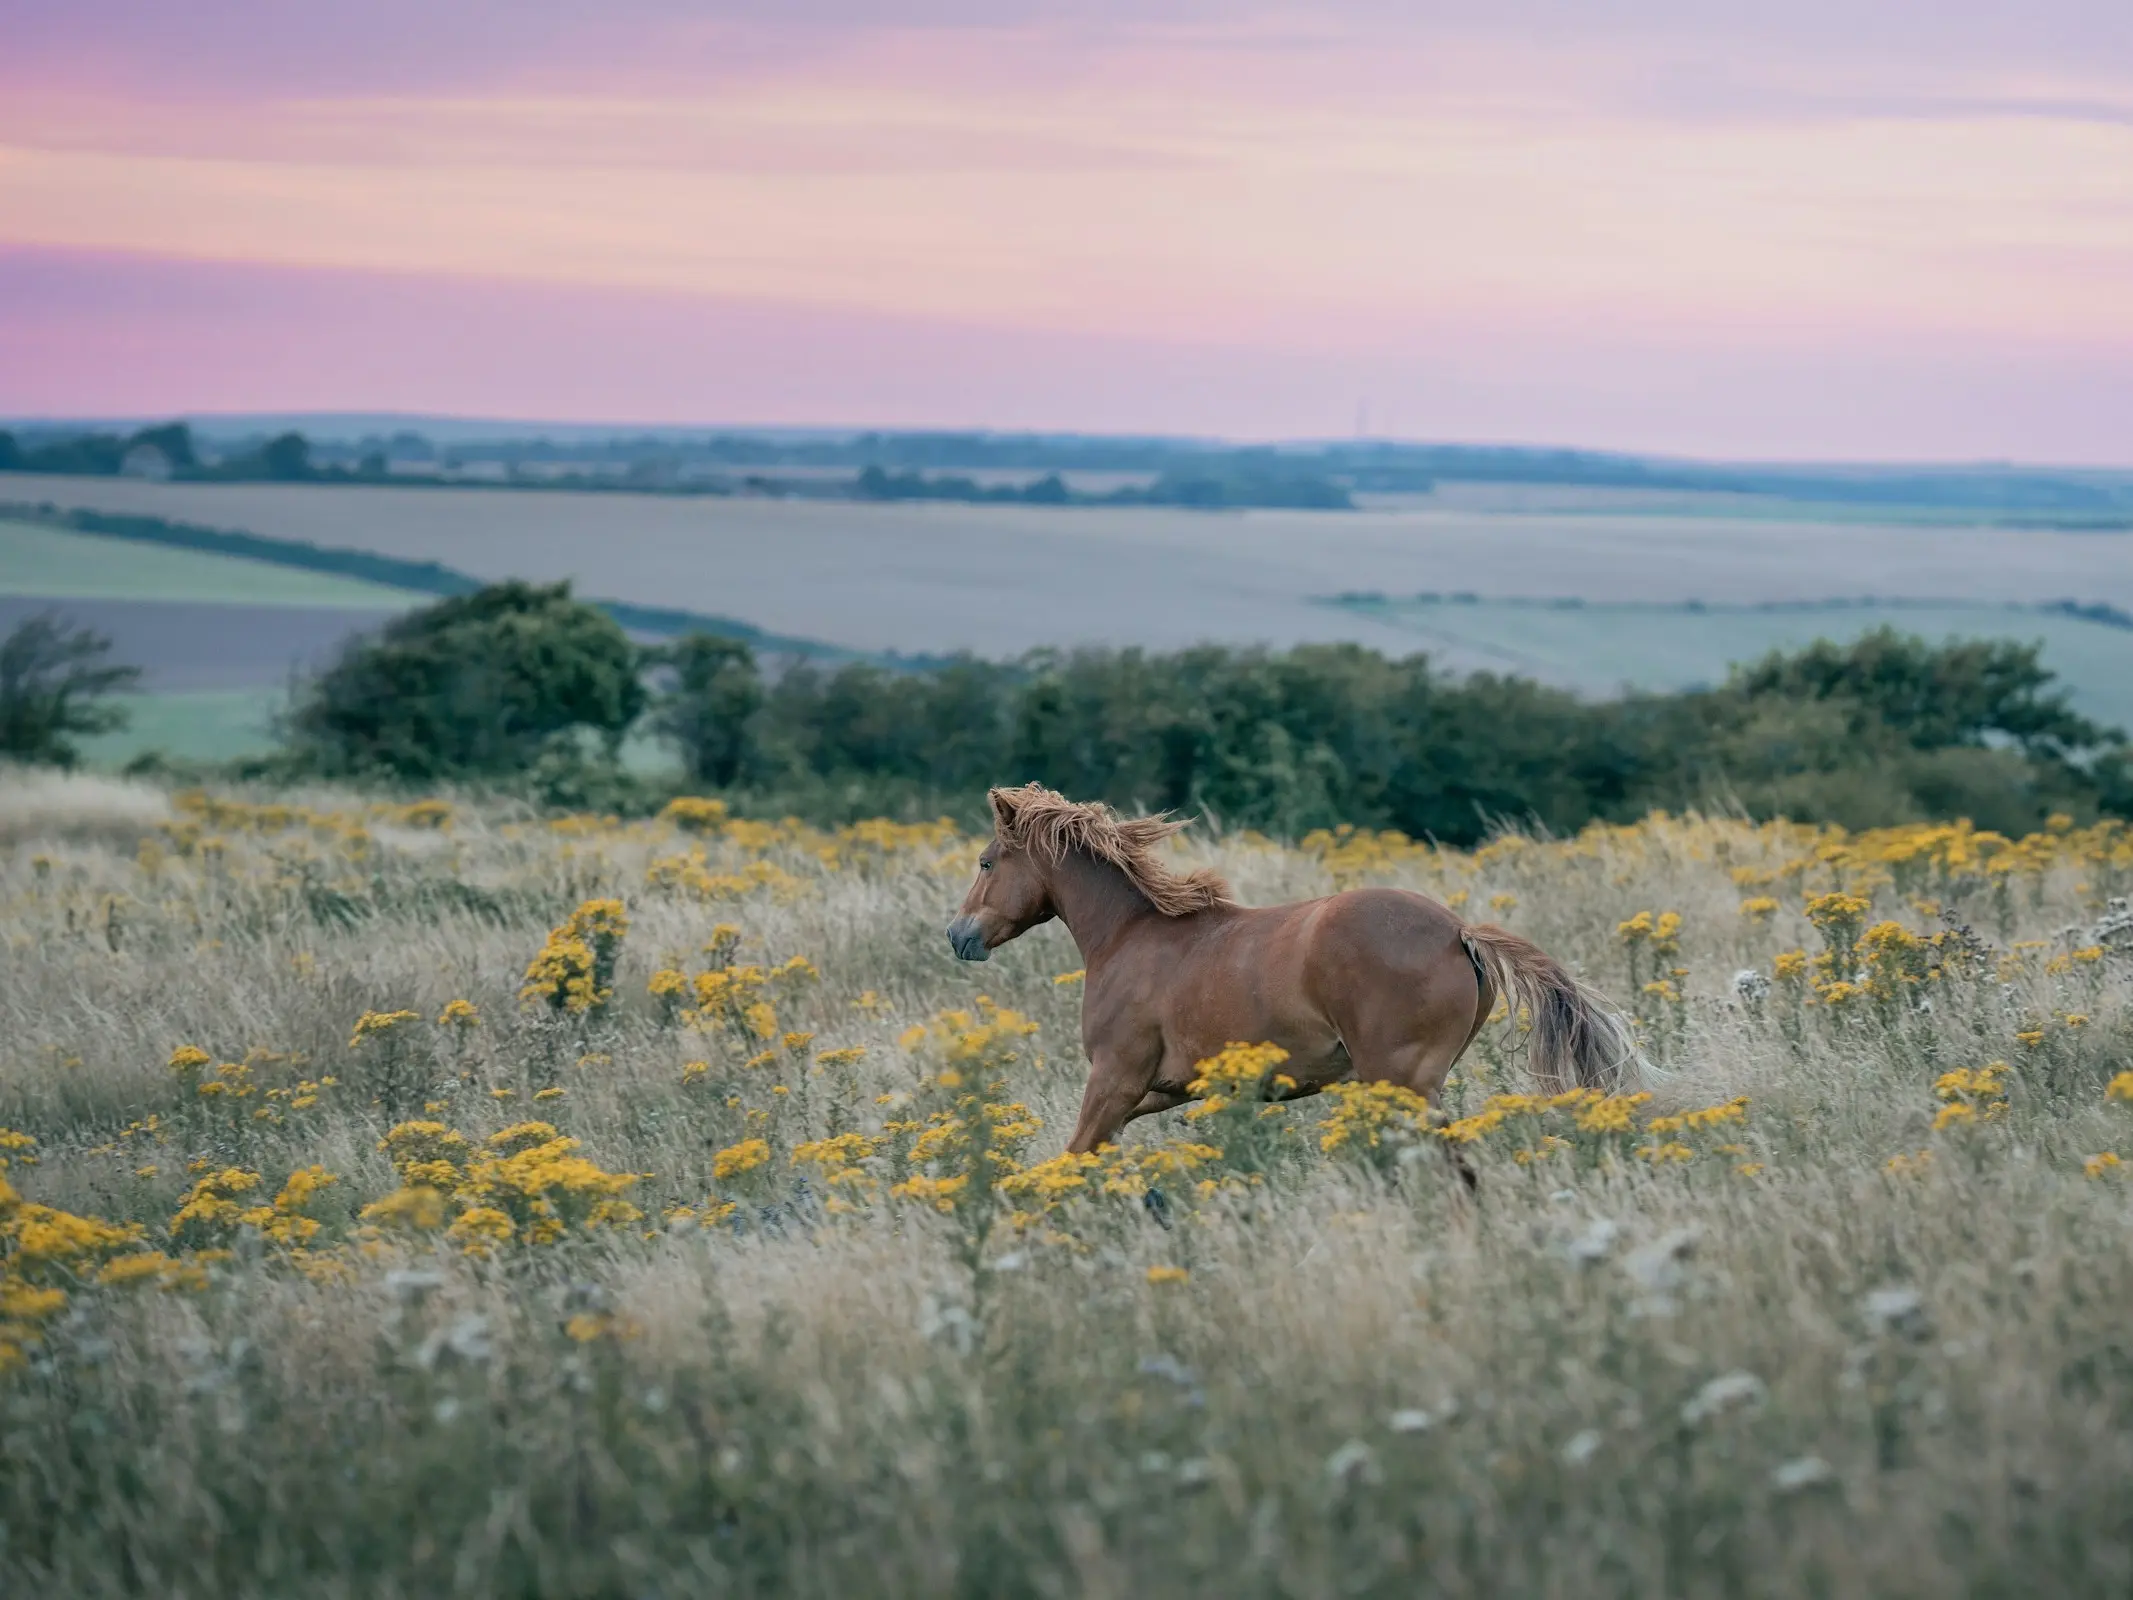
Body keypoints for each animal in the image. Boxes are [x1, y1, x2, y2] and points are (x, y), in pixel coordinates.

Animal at [942, 785, 1638, 1152]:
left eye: (985, 862)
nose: (957, 935)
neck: (1130, 937)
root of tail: (1458, 932)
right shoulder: (1160, 1090)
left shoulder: (1114, 1079)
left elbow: (1075, 1155)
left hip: (1402, 1082)